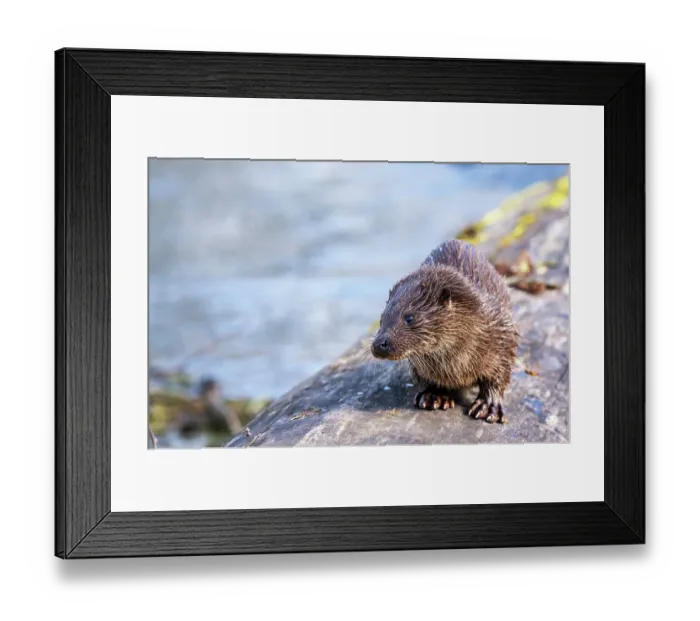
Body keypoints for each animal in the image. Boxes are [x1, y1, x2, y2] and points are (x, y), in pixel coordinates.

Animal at [371, 239, 518, 424]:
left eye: (410, 318)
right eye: (382, 318)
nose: (378, 344)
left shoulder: (502, 334)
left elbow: (499, 375)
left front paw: (488, 406)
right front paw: (434, 395)